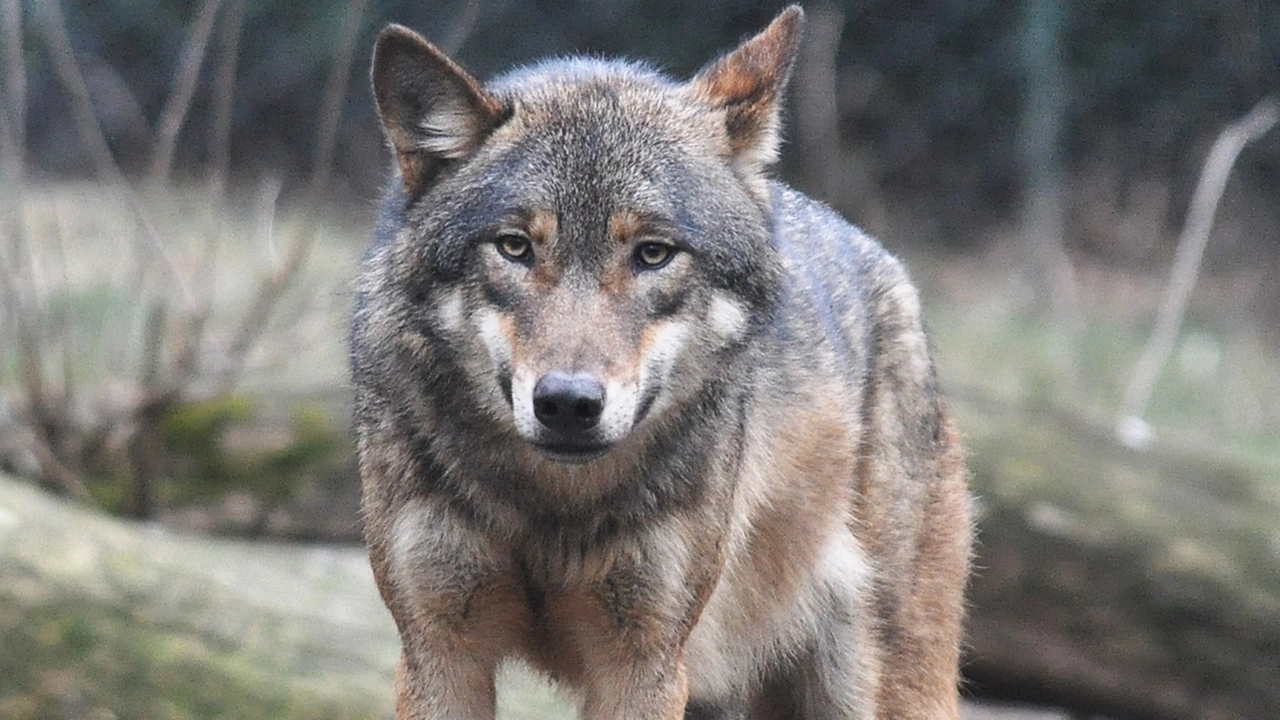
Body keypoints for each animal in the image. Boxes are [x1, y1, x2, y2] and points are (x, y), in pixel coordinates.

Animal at [350, 7, 967, 717]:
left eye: (652, 253)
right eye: (514, 247)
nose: (568, 403)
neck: (554, 507)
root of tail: (890, 269)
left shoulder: (644, 659)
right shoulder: (441, 647)